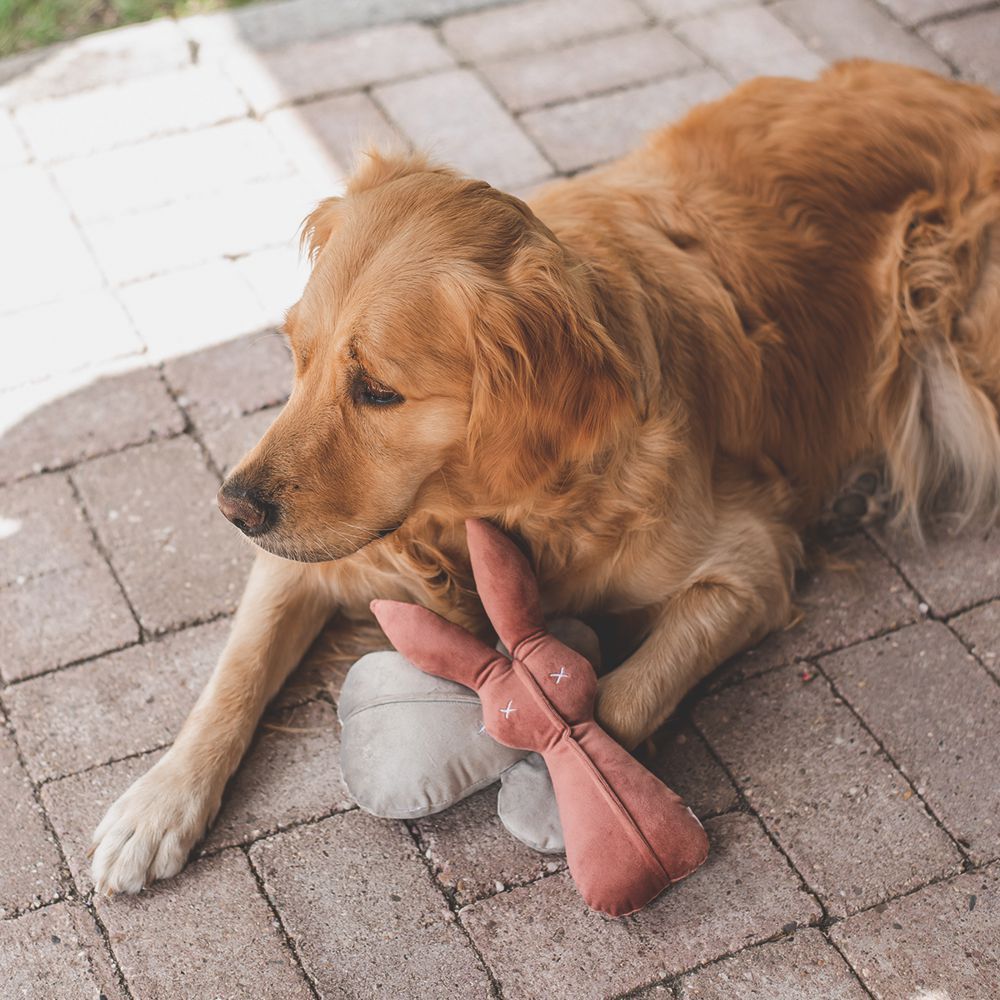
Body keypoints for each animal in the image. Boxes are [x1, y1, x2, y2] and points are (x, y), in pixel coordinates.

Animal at [88, 58, 1000, 896]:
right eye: (295, 355)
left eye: (378, 389)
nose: (232, 507)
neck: (505, 504)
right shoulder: (326, 551)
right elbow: (234, 670)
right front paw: (156, 804)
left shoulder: (753, 559)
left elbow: (623, 695)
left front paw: (577, 786)